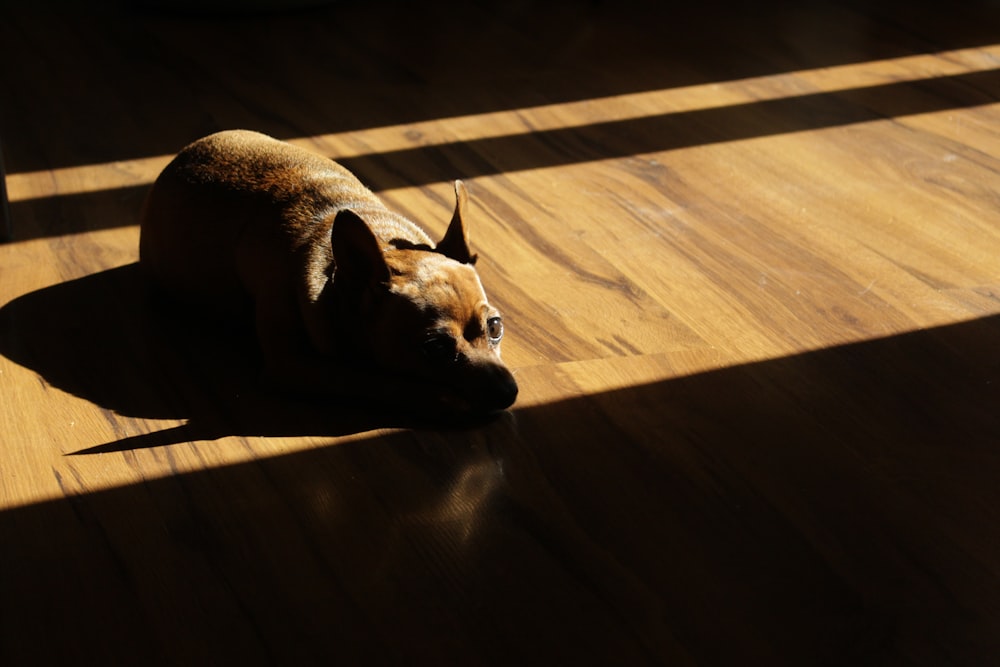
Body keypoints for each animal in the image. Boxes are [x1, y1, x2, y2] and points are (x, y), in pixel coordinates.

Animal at [141, 128, 516, 414]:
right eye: (435, 347)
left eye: (495, 326)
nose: (508, 390)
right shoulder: (294, 365)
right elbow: (373, 379)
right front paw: (442, 398)